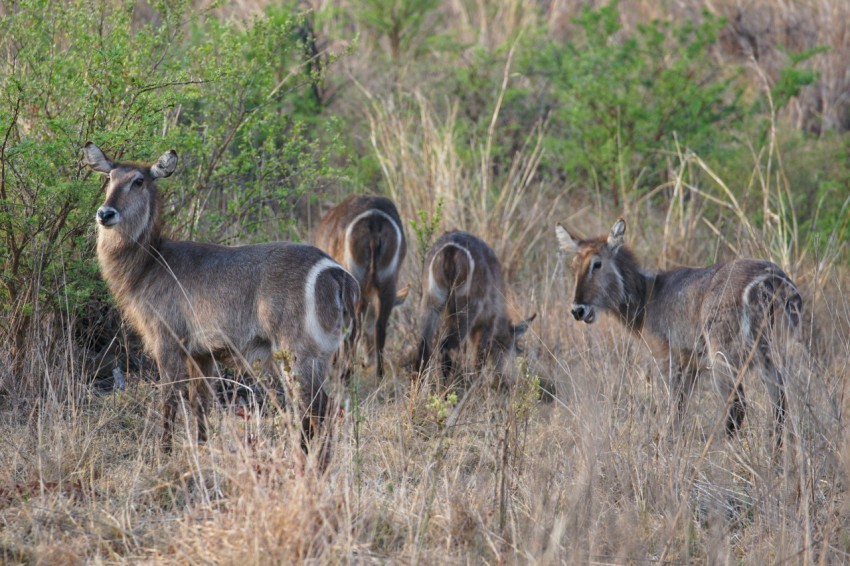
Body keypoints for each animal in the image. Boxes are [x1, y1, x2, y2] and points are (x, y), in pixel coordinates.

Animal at [83, 142, 359, 458]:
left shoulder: (167, 341)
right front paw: (202, 450)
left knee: (315, 409)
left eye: (138, 181)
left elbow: (169, 398)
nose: (105, 213)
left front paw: (164, 454)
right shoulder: (203, 353)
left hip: (299, 353)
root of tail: (338, 274)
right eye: (109, 178)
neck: (149, 264)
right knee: (324, 409)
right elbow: (200, 402)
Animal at [315, 195, 408, 380]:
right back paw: (379, 375)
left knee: (353, 329)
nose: (367, 361)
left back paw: (346, 374)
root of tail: (374, 218)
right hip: (387, 283)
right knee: (380, 327)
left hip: (354, 283)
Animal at [415, 230, 535, 384]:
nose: (508, 381)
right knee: (447, 345)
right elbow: (480, 356)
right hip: (467, 308)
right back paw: (446, 385)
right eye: (517, 349)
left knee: (424, 344)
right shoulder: (488, 321)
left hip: (431, 300)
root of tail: (451, 249)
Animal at [555, 218, 803, 447]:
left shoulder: (669, 358)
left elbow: (674, 409)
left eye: (597, 263)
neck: (647, 295)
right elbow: (680, 410)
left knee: (738, 405)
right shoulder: (691, 366)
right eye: (574, 265)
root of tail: (772, 279)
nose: (577, 309)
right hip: (768, 352)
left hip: (724, 356)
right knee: (779, 395)